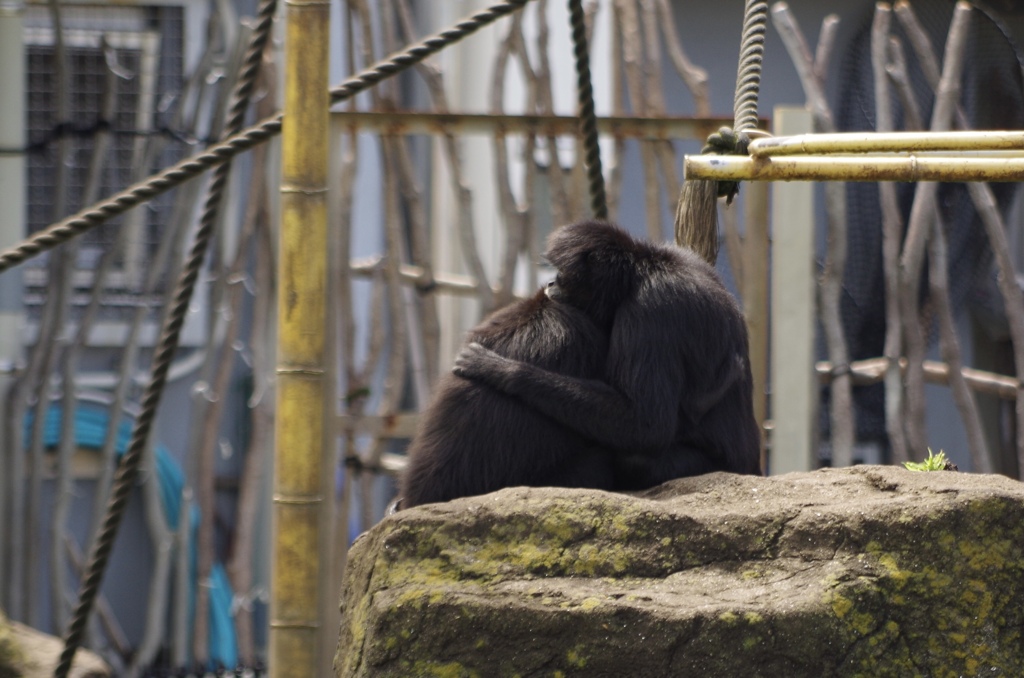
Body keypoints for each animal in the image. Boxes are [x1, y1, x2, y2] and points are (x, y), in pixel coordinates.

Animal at [454, 220, 761, 485]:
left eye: (563, 275)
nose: (551, 283)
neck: (644, 269)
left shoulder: (650, 309)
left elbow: (647, 423)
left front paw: (500, 368)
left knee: (636, 458)